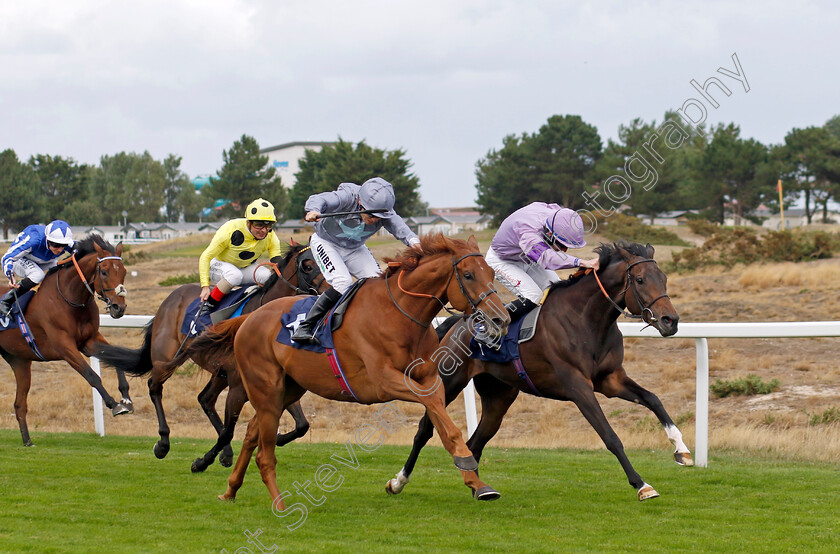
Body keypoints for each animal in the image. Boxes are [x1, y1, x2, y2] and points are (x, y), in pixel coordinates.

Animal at [0, 233, 131, 444]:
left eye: (124, 271)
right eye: (103, 272)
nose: (119, 307)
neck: (70, 299)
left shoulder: (89, 341)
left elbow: (116, 360)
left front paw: (126, 398)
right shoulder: (64, 347)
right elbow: (91, 375)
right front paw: (113, 404)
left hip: (19, 361)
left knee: (19, 404)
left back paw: (28, 441)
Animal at [95, 237, 324, 462]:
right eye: (308, 265)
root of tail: (169, 299)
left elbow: (302, 425)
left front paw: (275, 438)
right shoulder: (241, 381)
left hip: (219, 371)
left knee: (205, 399)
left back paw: (226, 453)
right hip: (168, 356)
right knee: (155, 387)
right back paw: (163, 442)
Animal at [185, 233, 512, 504]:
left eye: (492, 273)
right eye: (468, 275)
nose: (501, 318)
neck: (399, 315)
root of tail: (247, 318)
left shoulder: (429, 378)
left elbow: (440, 418)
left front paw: (477, 483)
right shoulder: (384, 382)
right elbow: (435, 408)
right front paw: (467, 466)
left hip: (288, 389)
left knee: (252, 433)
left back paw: (230, 489)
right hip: (265, 389)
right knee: (264, 452)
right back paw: (278, 502)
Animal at [388, 239, 688, 498]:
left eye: (663, 278)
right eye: (640, 280)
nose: (670, 320)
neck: (586, 320)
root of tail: (458, 325)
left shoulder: (611, 379)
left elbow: (653, 399)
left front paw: (681, 450)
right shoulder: (578, 387)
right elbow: (610, 436)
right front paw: (642, 484)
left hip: (499, 397)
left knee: (476, 442)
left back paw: (479, 488)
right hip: (449, 382)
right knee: (425, 430)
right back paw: (398, 481)